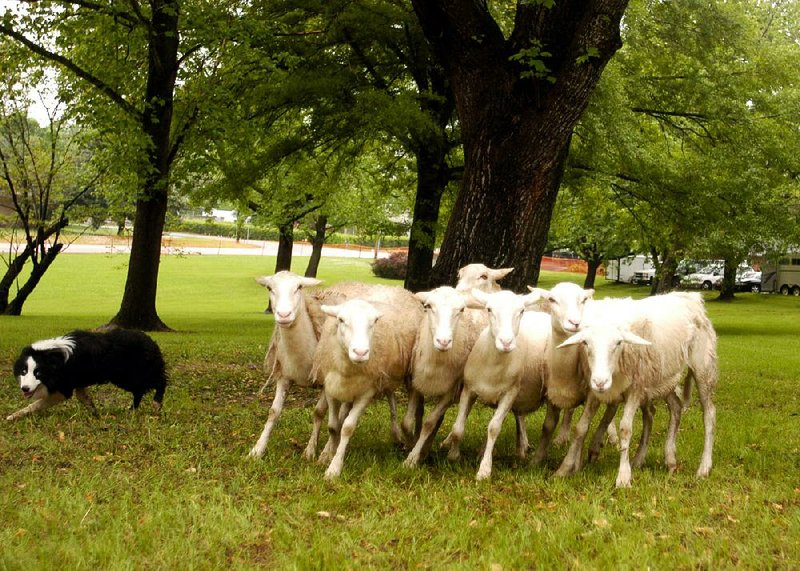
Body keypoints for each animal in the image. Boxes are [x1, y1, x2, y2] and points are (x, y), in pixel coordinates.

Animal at [314, 294, 422, 478]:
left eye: (374, 322)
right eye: (341, 320)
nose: (361, 352)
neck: (347, 368)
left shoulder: (366, 392)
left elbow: (347, 427)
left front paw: (334, 467)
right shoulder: (331, 388)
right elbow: (333, 426)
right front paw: (327, 454)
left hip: (410, 372)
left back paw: (409, 441)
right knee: (391, 398)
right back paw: (396, 435)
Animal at [400, 288, 488, 466]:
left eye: (461, 310)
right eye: (428, 306)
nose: (443, 341)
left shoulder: (450, 391)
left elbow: (429, 423)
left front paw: (413, 458)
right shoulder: (416, 383)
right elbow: (406, 422)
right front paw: (412, 443)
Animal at [440, 288, 552, 480]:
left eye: (521, 311)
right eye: (489, 309)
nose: (506, 342)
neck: (493, 365)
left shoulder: (509, 393)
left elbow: (493, 428)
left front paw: (485, 469)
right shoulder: (469, 390)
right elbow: (458, 427)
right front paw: (453, 455)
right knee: (519, 416)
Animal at [556, 294, 720, 488]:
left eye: (619, 343)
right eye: (585, 343)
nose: (601, 381)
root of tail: (692, 298)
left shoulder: (635, 389)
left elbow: (625, 429)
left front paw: (623, 477)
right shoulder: (594, 391)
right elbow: (580, 428)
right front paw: (564, 469)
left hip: (702, 367)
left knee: (709, 414)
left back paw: (704, 467)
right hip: (663, 378)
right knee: (675, 407)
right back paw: (665, 459)